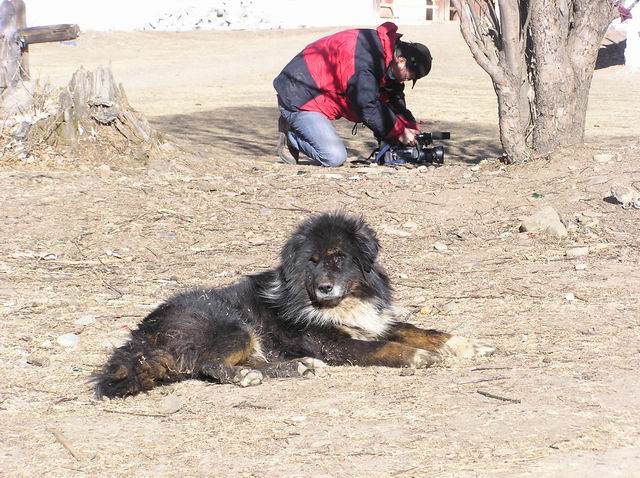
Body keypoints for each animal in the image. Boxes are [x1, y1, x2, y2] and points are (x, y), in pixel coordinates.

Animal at [94, 211, 496, 398]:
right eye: (312, 262)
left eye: (338, 258)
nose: (324, 287)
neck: (342, 303)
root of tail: (142, 333)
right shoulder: (335, 344)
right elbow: (387, 347)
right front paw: (419, 357)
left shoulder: (372, 321)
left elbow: (420, 329)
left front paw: (464, 344)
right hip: (233, 325)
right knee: (211, 364)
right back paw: (253, 375)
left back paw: (298, 367)